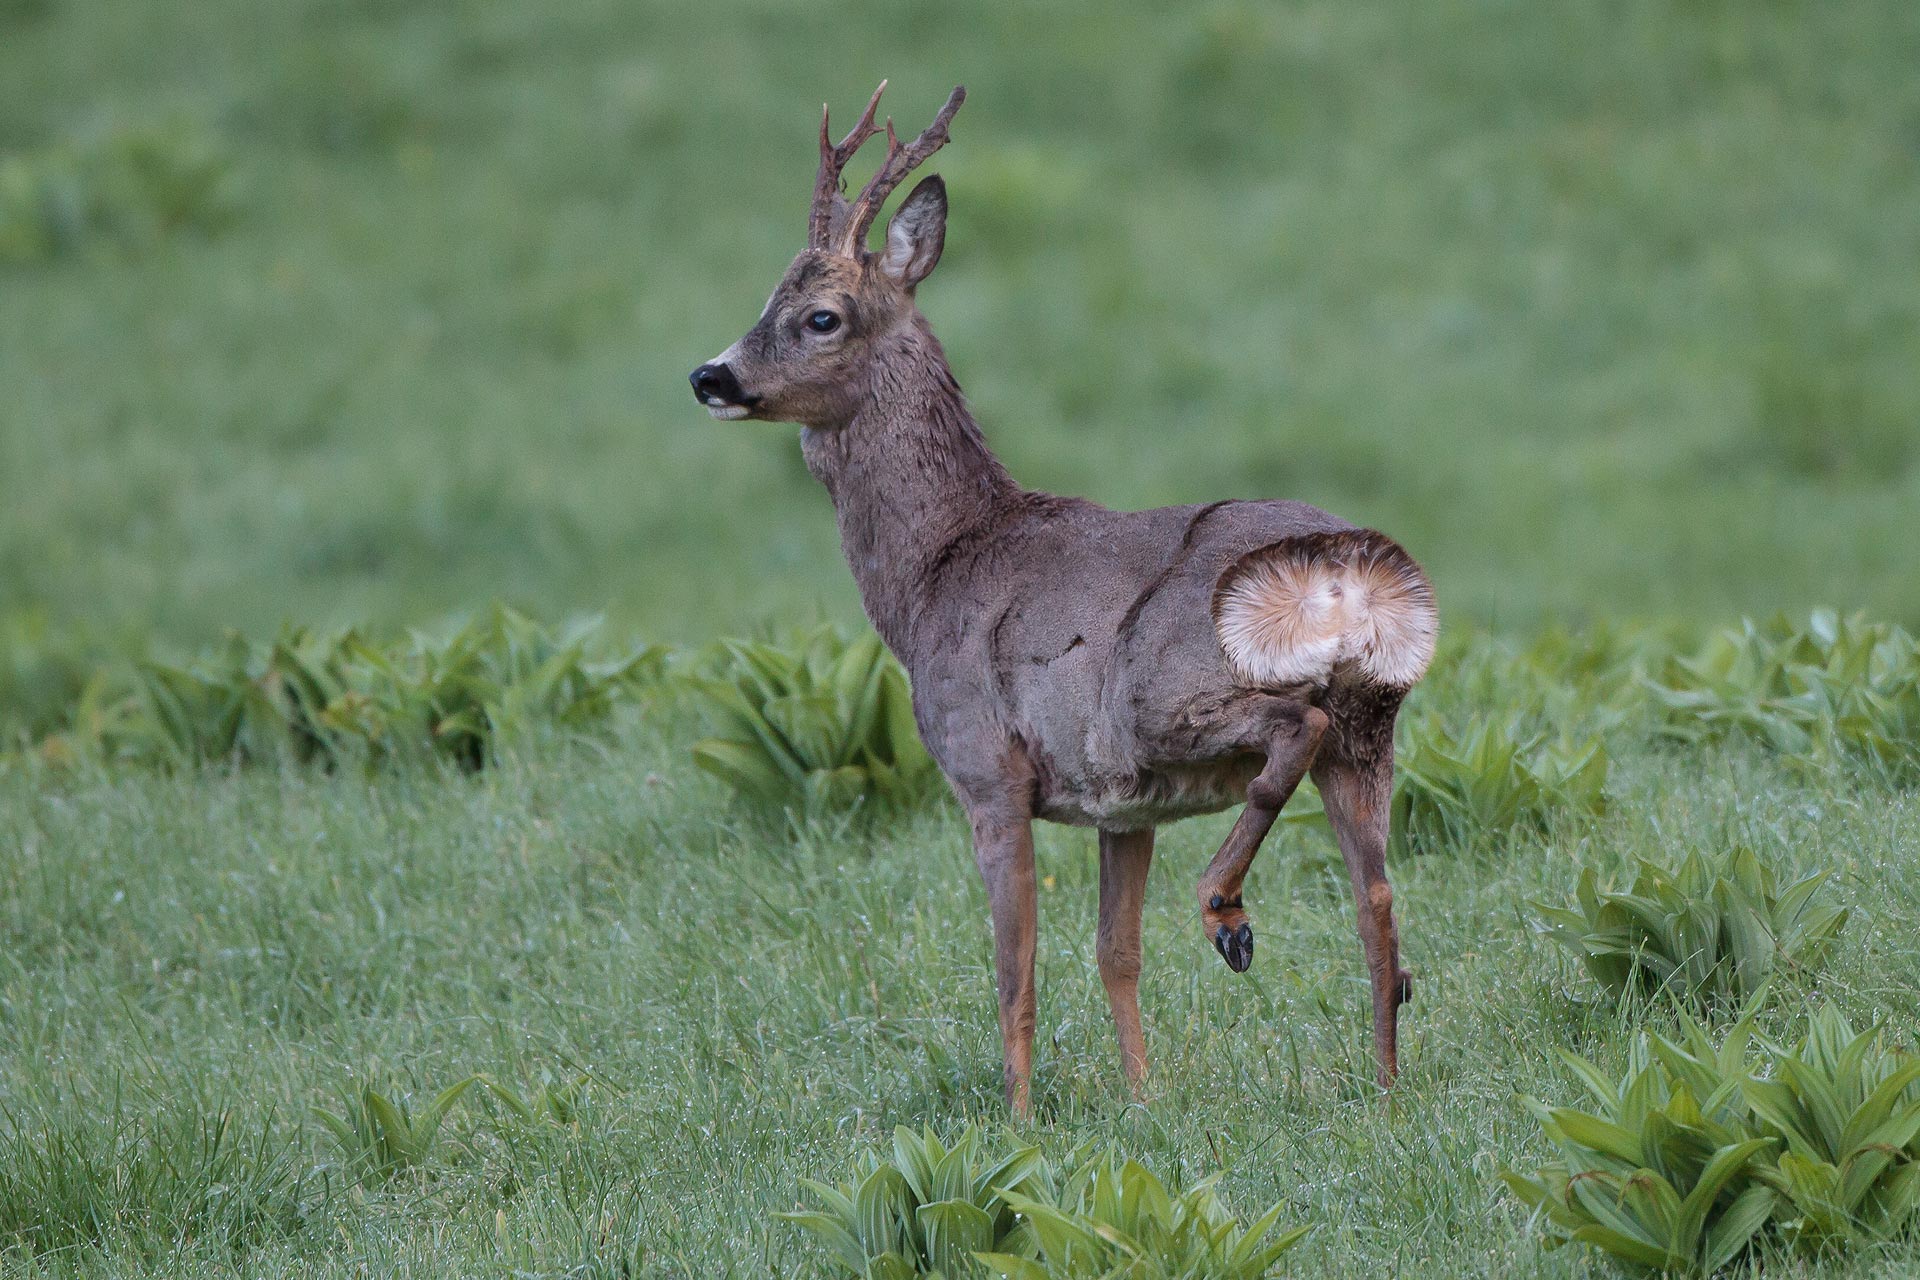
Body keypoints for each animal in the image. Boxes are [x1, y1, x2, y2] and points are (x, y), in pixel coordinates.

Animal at [683, 84, 1436, 1113]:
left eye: (822, 316)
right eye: (770, 296)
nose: (710, 376)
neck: (934, 576)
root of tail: (1353, 571)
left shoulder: (987, 772)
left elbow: (1015, 971)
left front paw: (1018, 1120)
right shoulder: (1125, 807)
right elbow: (1114, 953)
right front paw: (1144, 1100)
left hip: (1165, 694)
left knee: (1295, 730)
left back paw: (1225, 912)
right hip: (1369, 732)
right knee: (1378, 903)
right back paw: (1388, 1091)